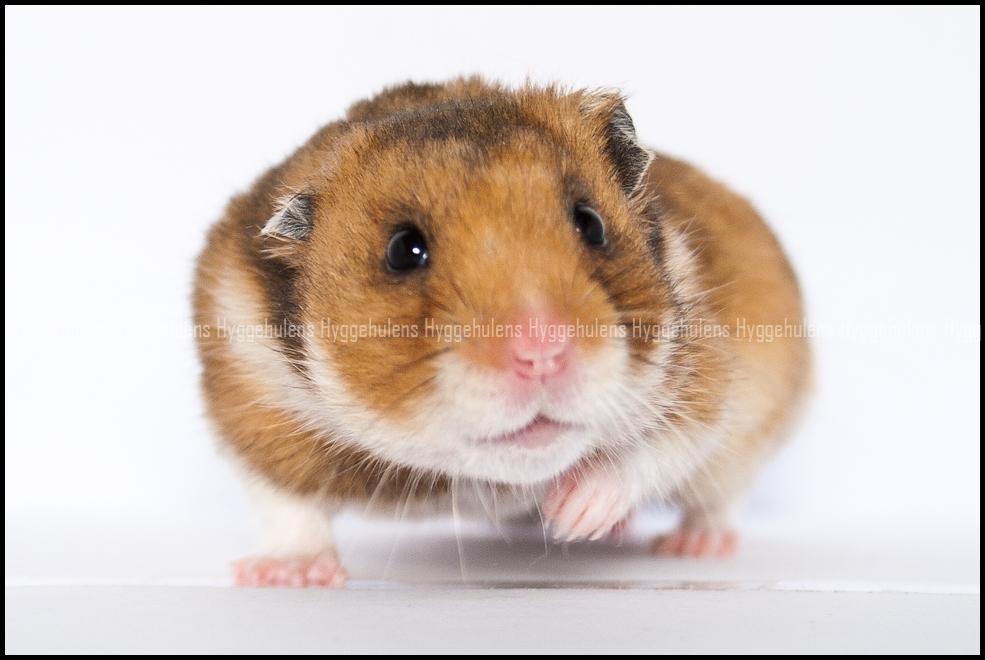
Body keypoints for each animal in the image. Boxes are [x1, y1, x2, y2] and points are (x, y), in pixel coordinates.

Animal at [194, 77, 810, 587]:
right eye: (402, 251)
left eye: (591, 223)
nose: (542, 354)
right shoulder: (249, 394)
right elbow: (283, 500)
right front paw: (286, 576)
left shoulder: (705, 366)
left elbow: (663, 441)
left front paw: (572, 516)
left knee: (718, 497)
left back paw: (690, 546)